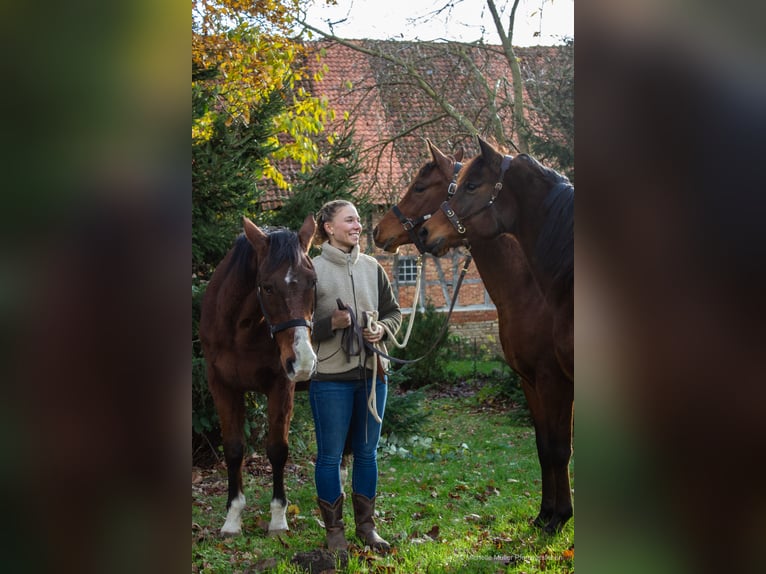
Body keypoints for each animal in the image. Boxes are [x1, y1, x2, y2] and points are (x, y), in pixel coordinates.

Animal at [201, 214, 318, 536]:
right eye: (266, 287)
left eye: (313, 282)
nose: (303, 361)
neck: (240, 331)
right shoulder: (222, 387)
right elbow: (233, 449)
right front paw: (232, 519)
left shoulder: (281, 387)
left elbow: (277, 449)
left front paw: (278, 519)